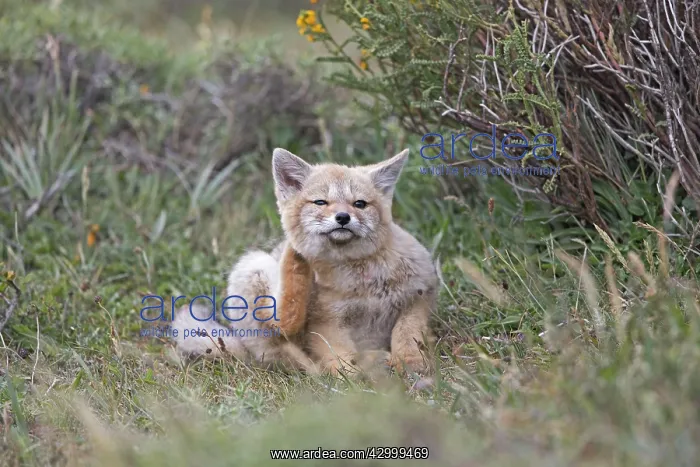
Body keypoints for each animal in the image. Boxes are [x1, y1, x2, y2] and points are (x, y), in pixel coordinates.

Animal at [172, 148, 438, 375]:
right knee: (293, 350)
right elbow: (339, 360)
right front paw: (351, 383)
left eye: (359, 204)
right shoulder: (327, 322)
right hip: (253, 268)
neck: (364, 283)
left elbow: (406, 335)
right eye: (321, 202)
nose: (343, 217)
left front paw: (411, 364)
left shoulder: (418, 298)